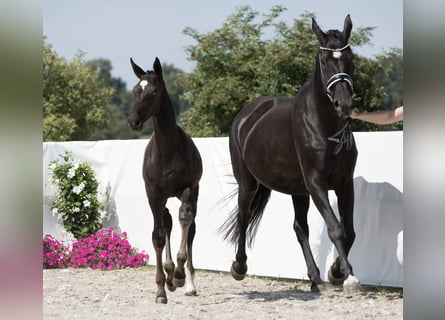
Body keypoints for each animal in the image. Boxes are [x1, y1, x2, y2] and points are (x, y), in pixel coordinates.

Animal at [127, 57, 202, 302]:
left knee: (190, 227)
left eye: (153, 92)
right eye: (135, 90)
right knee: (167, 222)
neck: (167, 151)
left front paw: (179, 275)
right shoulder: (153, 193)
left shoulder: (188, 188)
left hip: (191, 193)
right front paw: (161, 289)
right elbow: (158, 235)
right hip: (163, 198)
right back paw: (169, 278)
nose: (134, 121)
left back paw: (186, 282)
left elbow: (185, 219)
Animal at [220, 15, 362, 296]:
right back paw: (239, 267)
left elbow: (349, 231)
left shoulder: (344, 184)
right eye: (324, 60)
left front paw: (336, 272)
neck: (324, 127)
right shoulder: (316, 183)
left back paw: (315, 278)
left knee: (300, 228)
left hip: (298, 190)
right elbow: (336, 228)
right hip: (248, 183)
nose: (344, 105)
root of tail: (247, 114)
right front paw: (348, 277)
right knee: (243, 217)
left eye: (350, 58)